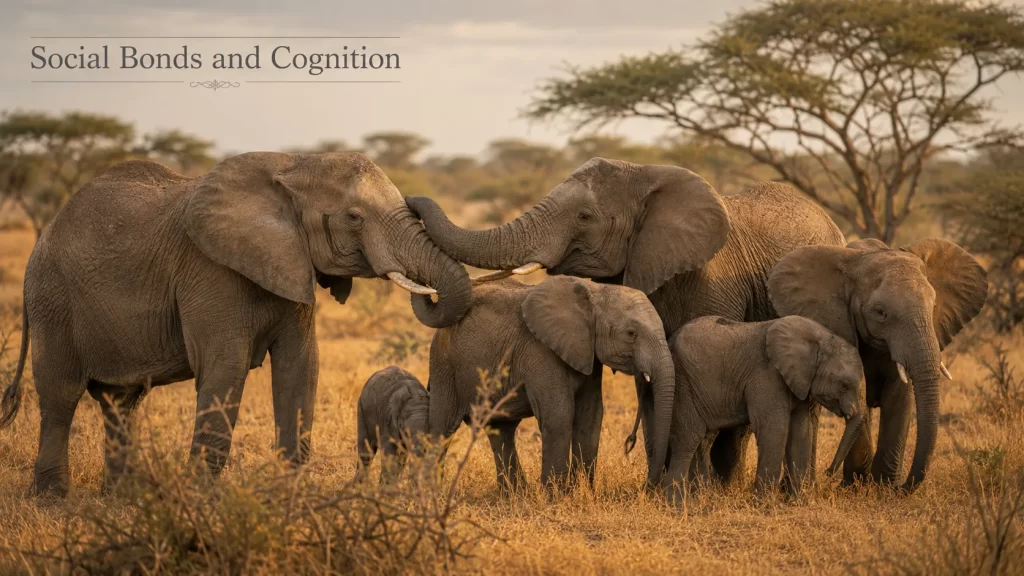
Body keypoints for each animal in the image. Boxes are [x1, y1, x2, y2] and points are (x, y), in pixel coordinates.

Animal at [0, 152, 471, 497]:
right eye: (354, 217)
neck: (292, 165)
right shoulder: (210, 271)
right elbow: (224, 369)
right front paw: (200, 499)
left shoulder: (291, 264)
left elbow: (300, 367)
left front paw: (286, 497)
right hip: (52, 300)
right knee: (60, 396)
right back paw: (54, 499)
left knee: (120, 402)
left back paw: (121, 497)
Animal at [427, 276, 674, 492]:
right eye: (631, 333)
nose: (648, 486)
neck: (595, 293)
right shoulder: (539, 350)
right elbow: (558, 415)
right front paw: (555, 498)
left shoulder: (587, 354)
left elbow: (590, 415)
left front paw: (580, 492)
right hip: (444, 367)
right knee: (442, 429)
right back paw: (431, 493)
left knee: (501, 430)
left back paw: (515, 495)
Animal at [647, 315, 865, 500]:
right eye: (844, 385)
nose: (828, 471)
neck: (819, 337)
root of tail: (670, 340)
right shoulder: (767, 376)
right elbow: (774, 429)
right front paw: (766, 504)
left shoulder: (799, 383)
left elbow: (801, 431)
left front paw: (799, 502)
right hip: (683, 384)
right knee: (689, 438)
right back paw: (677, 502)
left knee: (704, 440)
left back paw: (701, 497)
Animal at [767, 237, 987, 491]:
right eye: (880, 312)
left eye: (933, 307)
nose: (904, 486)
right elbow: (859, 401)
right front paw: (858, 487)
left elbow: (899, 397)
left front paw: (884, 488)